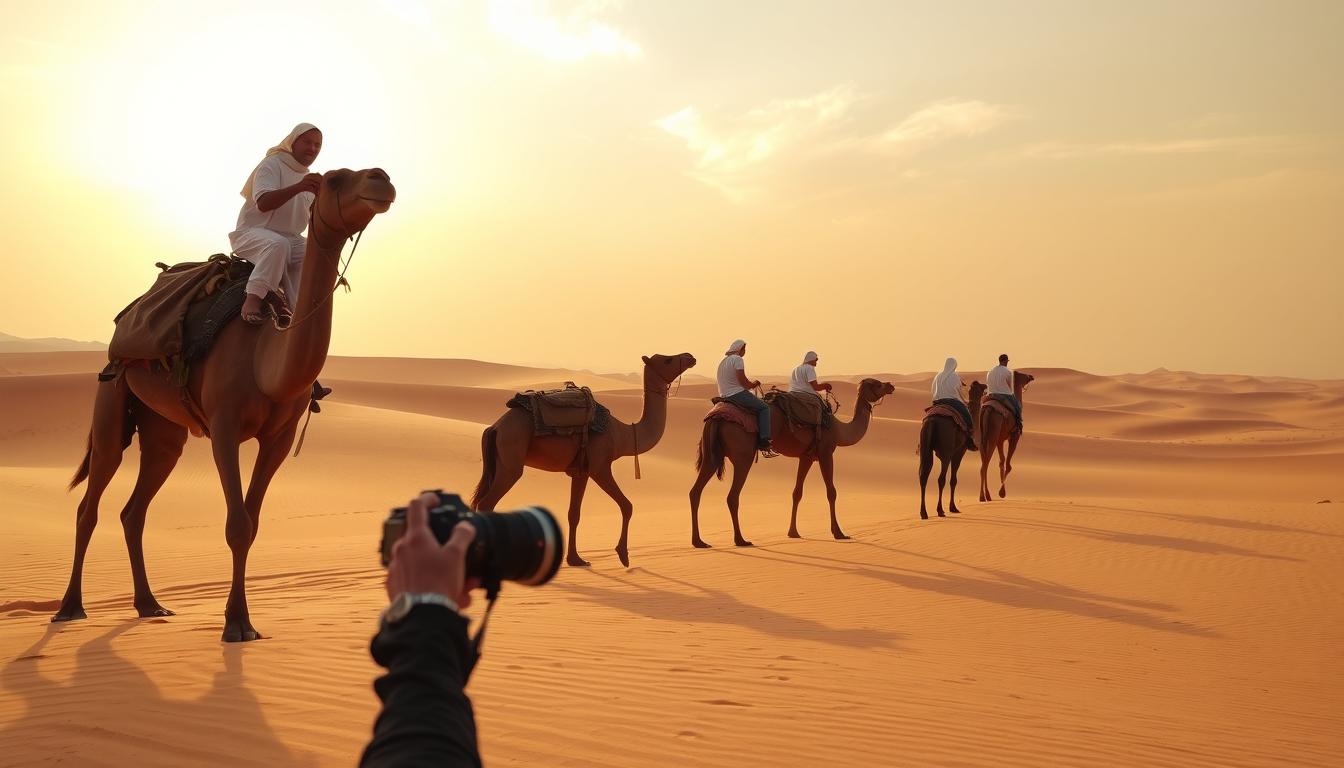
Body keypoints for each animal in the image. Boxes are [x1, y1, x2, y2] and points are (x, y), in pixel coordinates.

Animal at [53, 168, 395, 642]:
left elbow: (252, 523)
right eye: (335, 179)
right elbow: (237, 524)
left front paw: (245, 621)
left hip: (163, 430)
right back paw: (70, 607)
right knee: (91, 502)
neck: (264, 360)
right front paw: (235, 624)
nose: (381, 179)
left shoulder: (279, 439)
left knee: (135, 508)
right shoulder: (225, 428)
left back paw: (150, 605)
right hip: (111, 397)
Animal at [471, 353, 697, 568]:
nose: (690, 357)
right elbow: (627, 505)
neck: (621, 434)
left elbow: (574, 513)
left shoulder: (581, 472)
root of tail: (495, 427)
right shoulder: (600, 466)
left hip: (500, 461)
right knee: (486, 503)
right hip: (511, 458)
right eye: (668, 360)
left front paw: (575, 559)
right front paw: (623, 555)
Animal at [690, 378, 896, 547]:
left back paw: (699, 541)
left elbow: (797, 492)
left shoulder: (806, 456)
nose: (891, 386)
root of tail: (716, 418)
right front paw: (839, 532)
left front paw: (793, 532)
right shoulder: (826, 452)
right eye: (877, 384)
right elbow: (831, 492)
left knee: (695, 492)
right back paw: (741, 540)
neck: (838, 429)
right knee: (732, 496)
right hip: (743, 455)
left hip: (711, 455)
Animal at [918, 381, 987, 519]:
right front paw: (953, 507)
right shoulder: (959, 451)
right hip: (946, 450)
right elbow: (953, 480)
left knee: (923, 475)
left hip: (925, 448)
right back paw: (940, 510)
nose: (986, 386)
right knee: (941, 479)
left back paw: (924, 512)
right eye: (981, 386)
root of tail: (932, 420)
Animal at [977, 370, 1035, 502]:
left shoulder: (1000, 440)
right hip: (993, 435)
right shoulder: (1014, 436)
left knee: (983, 463)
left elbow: (1001, 462)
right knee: (985, 465)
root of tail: (987, 409)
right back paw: (984, 496)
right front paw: (1002, 492)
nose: (1031, 376)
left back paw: (986, 495)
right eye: (1024, 375)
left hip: (982, 438)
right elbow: (1008, 465)